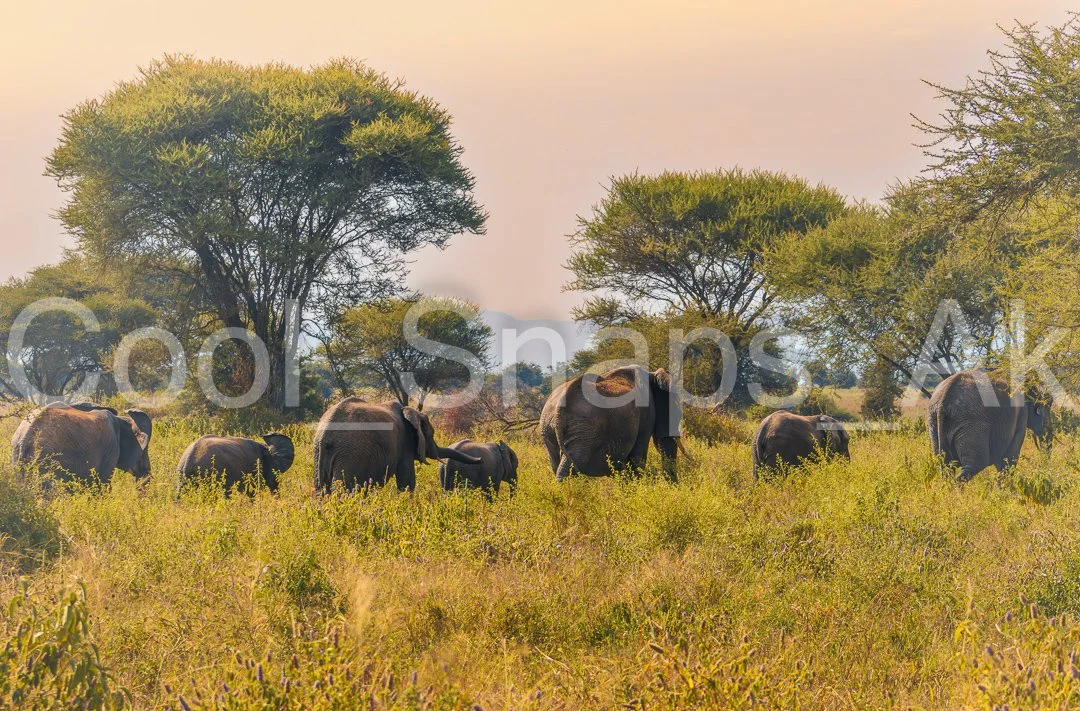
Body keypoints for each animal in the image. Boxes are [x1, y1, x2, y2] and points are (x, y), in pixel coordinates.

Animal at [11, 401, 152, 484]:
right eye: (144, 451)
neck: (121, 420)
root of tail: (25, 438)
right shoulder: (111, 450)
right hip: (46, 458)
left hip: (16, 453)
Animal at [313, 398, 482, 493]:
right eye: (432, 435)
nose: (480, 459)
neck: (410, 411)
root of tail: (325, 437)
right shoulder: (404, 443)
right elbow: (406, 481)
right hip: (350, 456)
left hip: (319, 455)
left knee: (320, 490)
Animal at [539, 364, 682, 482]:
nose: (675, 487)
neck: (651, 374)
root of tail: (558, 409)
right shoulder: (647, 414)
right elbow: (638, 456)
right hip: (583, 428)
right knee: (572, 464)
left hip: (548, 428)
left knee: (558, 464)